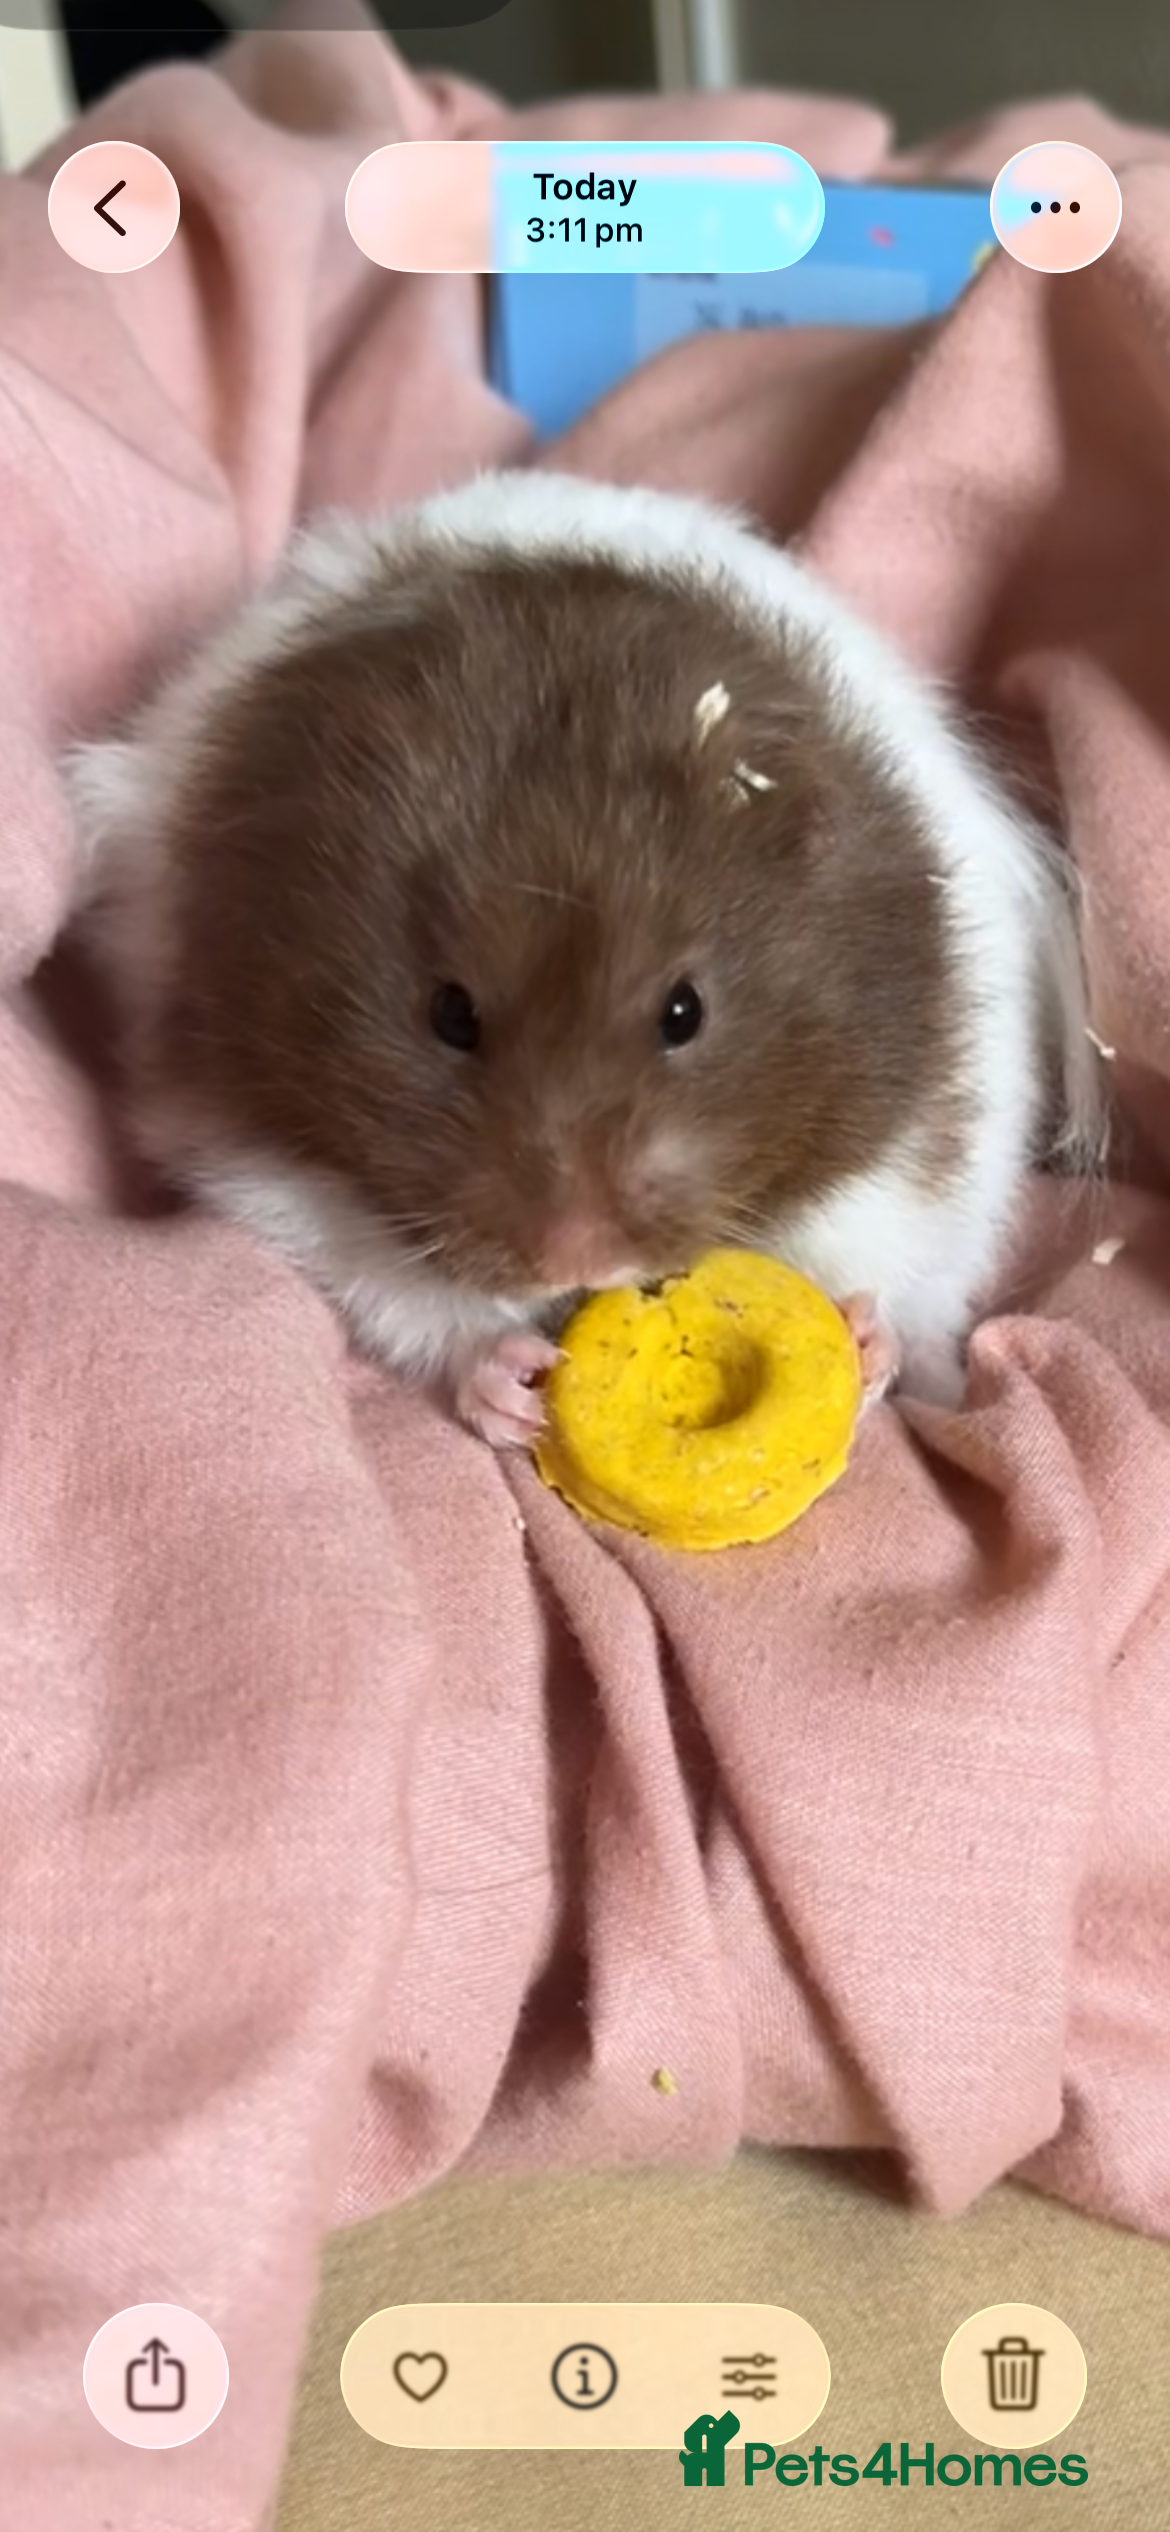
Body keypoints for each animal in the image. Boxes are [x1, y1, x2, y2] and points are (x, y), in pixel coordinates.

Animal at [64, 469, 1104, 1447]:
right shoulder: (262, 1150)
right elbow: (398, 1284)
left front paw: (860, 1339)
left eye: (685, 1012)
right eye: (449, 1014)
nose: (580, 1260)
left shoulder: (924, 1118)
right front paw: (513, 1385)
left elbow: (881, 1245)